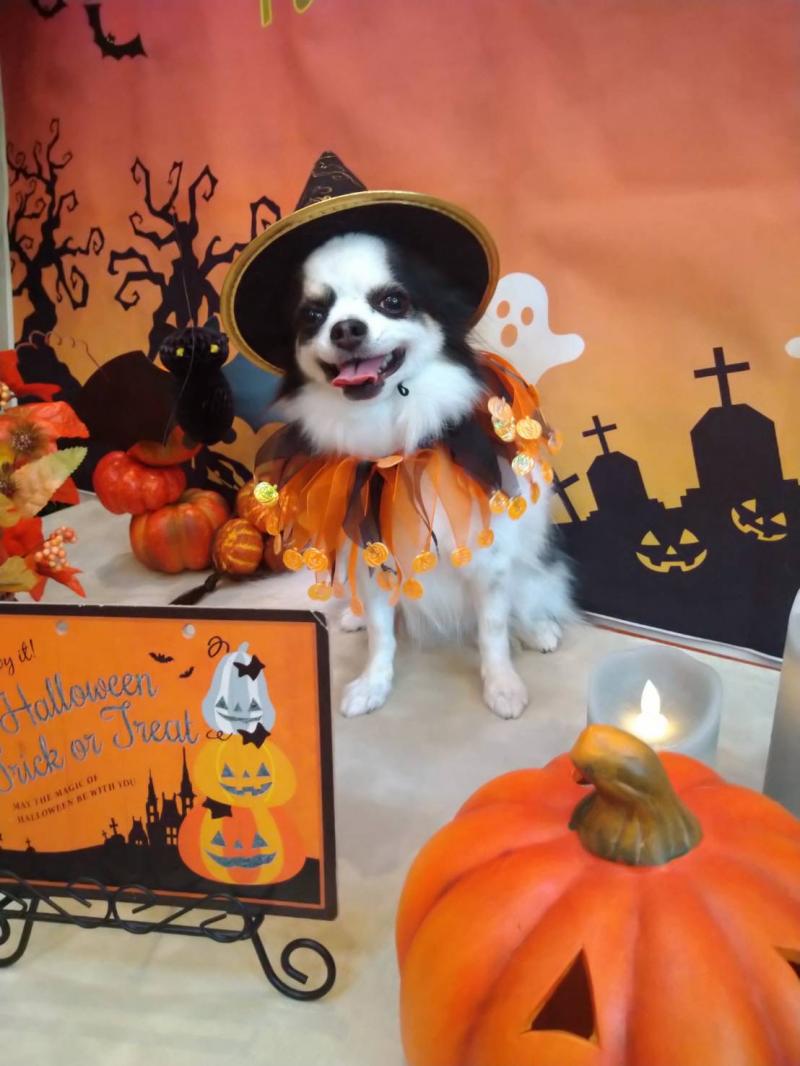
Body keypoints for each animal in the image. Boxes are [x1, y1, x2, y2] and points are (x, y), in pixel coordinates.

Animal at [273, 231, 574, 719]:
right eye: (313, 316)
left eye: (393, 301)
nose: (346, 328)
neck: (397, 448)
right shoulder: (372, 547)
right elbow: (382, 633)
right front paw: (373, 684)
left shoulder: (488, 560)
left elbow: (493, 628)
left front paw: (502, 685)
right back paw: (355, 617)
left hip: (529, 561)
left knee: (526, 596)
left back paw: (535, 629)